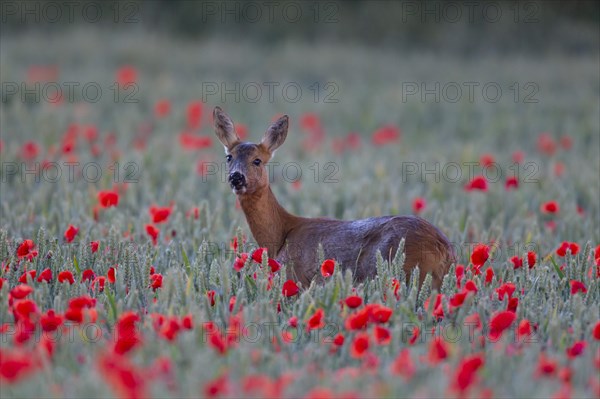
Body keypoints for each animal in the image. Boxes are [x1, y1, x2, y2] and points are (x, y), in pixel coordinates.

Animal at [214, 108, 454, 290]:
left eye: (257, 160)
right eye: (229, 157)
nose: (236, 177)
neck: (281, 236)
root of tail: (445, 249)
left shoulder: (295, 277)